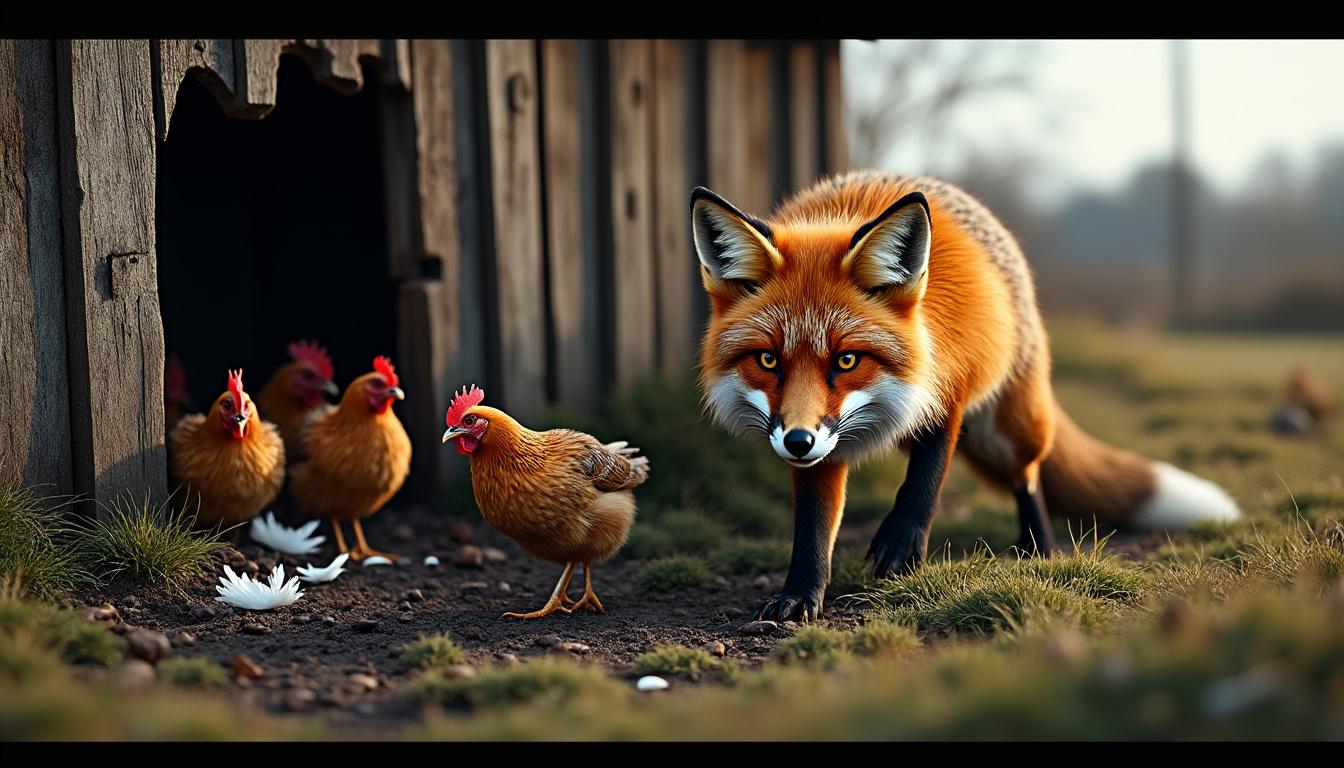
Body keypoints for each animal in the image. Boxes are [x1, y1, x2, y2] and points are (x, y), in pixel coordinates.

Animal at [692, 170, 1240, 623]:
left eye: (846, 360)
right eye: (768, 360)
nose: (798, 442)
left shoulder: (948, 390)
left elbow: (926, 478)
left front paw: (902, 543)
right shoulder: (823, 448)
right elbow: (813, 527)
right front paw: (801, 593)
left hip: (1011, 428)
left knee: (1029, 477)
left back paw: (1039, 547)